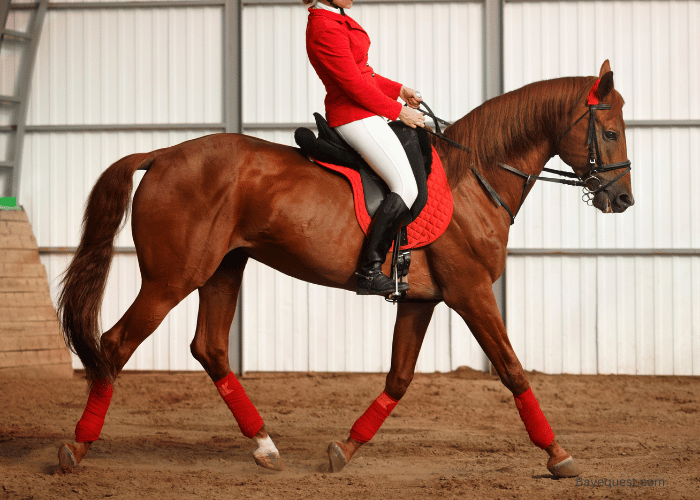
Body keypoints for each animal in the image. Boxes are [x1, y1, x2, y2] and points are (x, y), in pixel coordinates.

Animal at [56, 61, 636, 476]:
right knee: (115, 345)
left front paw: (346, 449)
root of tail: (162, 154)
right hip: (172, 279)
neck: (475, 175)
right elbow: (512, 369)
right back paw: (78, 448)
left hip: (223, 270)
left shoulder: (422, 300)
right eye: (609, 134)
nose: (623, 199)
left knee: (210, 348)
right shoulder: (470, 291)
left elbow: (399, 378)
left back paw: (265, 446)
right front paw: (558, 455)